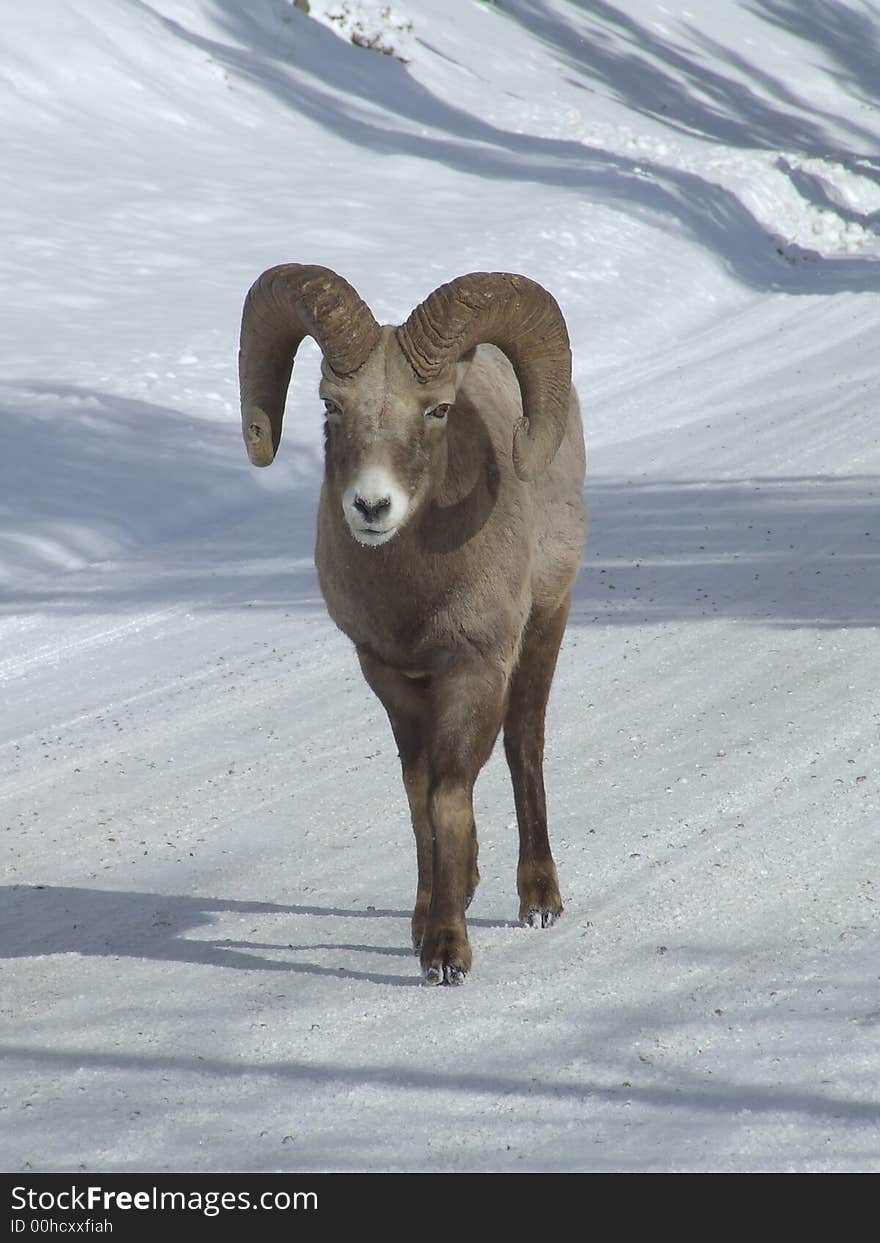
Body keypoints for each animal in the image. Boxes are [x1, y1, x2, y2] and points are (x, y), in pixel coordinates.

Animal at [237, 267, 586, 984]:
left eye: (437, 409)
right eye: (331, 406)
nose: (371, 506)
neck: (415, 595)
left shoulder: (475, 666)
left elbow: (449, 793)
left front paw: (447, 954)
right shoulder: (391, 676)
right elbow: (418, 793)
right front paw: (427, 924)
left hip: (546, 625)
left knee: (523, 747)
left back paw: (538, 900)